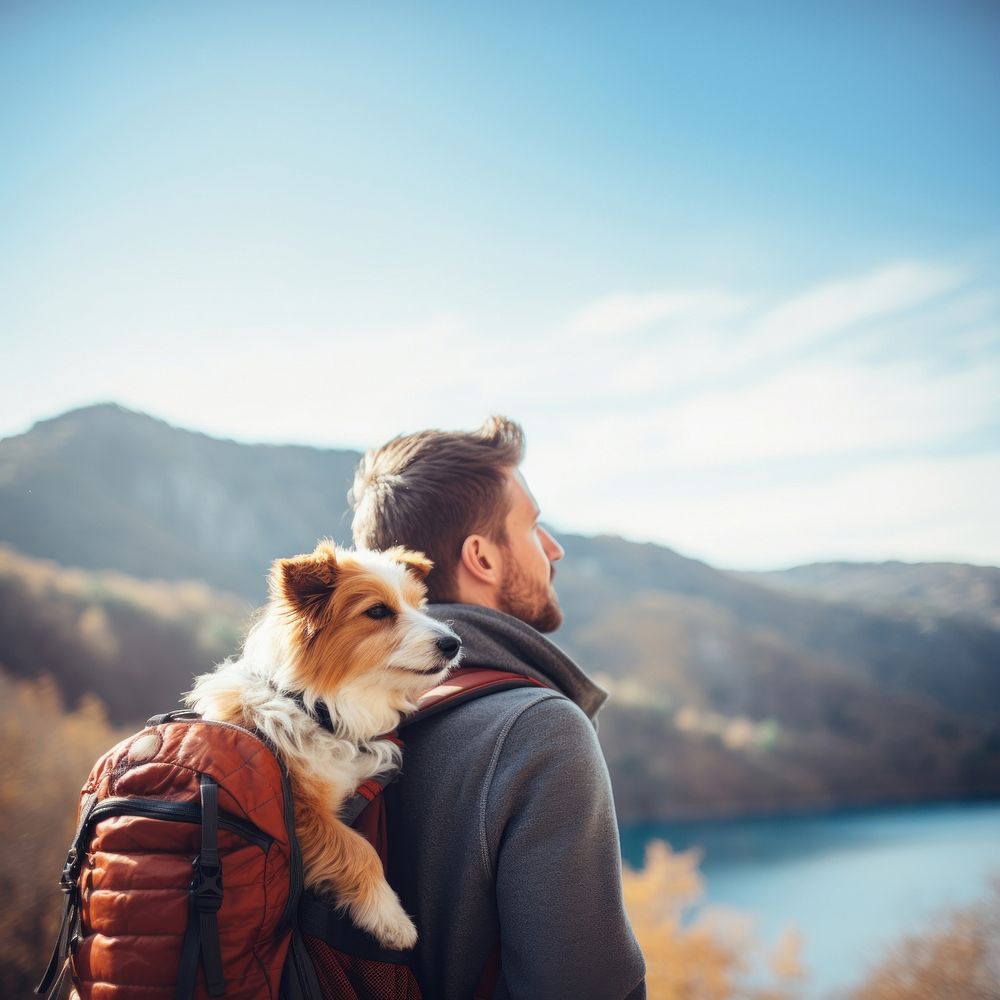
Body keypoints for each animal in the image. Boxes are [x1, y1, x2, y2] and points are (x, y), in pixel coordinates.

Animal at [186, 544, 462, 948]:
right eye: (377, 611)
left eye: (418, 605)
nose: (454, 644)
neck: (318, 710)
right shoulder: (299, 815)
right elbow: (360, 849)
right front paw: (391, 917)